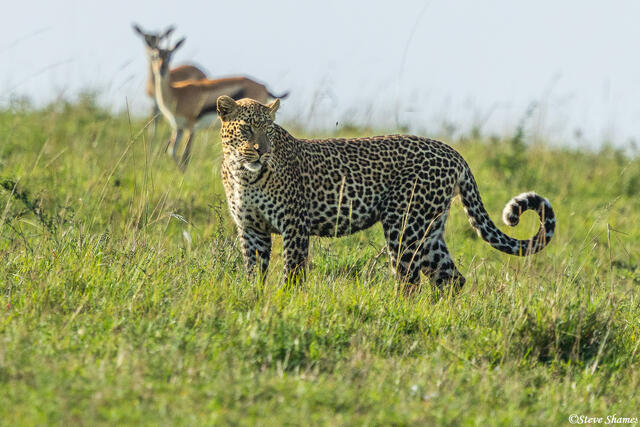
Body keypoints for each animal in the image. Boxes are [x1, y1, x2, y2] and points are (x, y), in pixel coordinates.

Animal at [216, 95, 556, 288]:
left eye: (269, 130)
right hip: (429, 232)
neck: (243, 175)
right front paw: (253, 303)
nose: (261, 151)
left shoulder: (294, 226)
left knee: (410, 282)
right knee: (450, 279)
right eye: (246, 129)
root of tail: (453, 152)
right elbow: (253, 274)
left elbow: (293, 273)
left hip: (404, 226)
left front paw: (288, 305)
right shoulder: (252, 230)